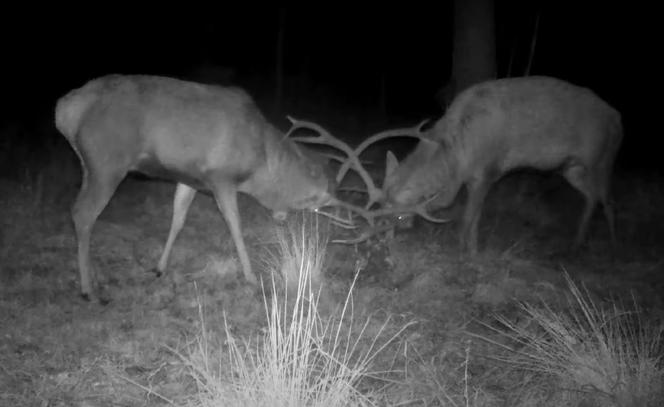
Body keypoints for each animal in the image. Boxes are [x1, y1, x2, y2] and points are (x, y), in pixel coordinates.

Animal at [55, 75, 368, 302]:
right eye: (318, 205)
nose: (283, 219)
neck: (261, 165)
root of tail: (64, 111)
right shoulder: (222, 177)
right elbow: (235, 225)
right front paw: (251, 277)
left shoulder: (189, 178)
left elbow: (178, 219)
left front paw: (159, 267)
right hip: (107, 162)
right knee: (82, 213)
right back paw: (88, 288)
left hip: (89, 165)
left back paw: (94, 277)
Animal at [338, 76, 624, 253]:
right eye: (380, 207)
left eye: (397, 215)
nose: (381, 241)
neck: (457, 155)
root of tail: (618, 119)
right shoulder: (472, 178)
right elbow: (475, 217)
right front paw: (474, 250)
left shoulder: (489, 171)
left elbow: (467, 217)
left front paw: (461, 251)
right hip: (571, 168)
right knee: (592, 197)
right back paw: (576, 244)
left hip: (601, 156)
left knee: (608, 198)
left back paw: (611, 244)